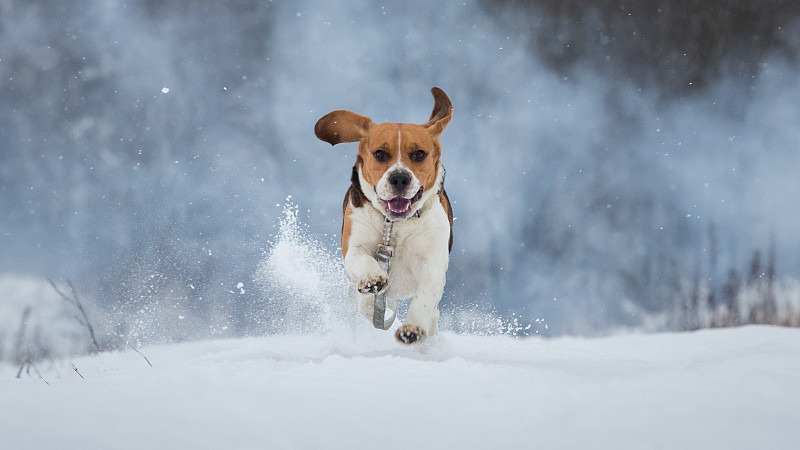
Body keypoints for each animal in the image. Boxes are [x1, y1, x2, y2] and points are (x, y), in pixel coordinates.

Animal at [316, 86, 454, 342]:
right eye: (380, 154)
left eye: (419, 154)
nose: (399, 178)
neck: (395, 226)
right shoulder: (354, 247)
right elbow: (364, 262)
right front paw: (372, 281)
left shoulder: (432, 265)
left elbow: (424, 299)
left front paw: (412, 328)